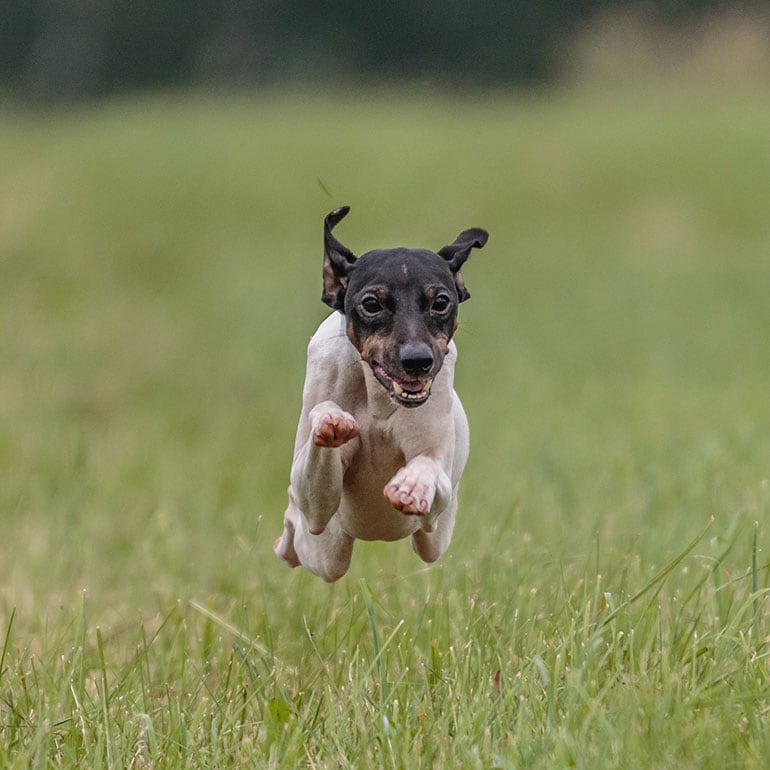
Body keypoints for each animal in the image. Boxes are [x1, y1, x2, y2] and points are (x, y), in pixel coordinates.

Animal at [272, 207, 486, 580]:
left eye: (441, 301)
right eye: (371, 304)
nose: (418, 361)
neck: (378, 401)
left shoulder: (436, 503)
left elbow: (430, 469)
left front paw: (412, 484)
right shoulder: (317, 505)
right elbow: (312, 493)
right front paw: (330, 419)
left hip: (435, 538)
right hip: (326, 551)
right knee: (297, 526)